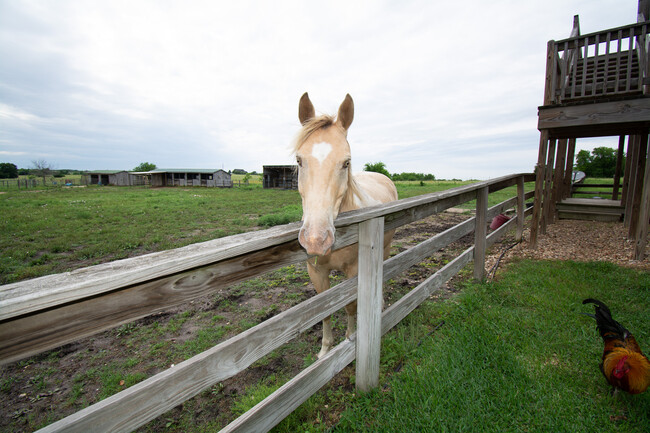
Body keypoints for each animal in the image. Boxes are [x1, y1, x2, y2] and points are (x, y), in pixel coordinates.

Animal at [292, 92, 394, 358]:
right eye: (299, 160)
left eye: (346, 163)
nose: (316, 241)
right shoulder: (316, 272)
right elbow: (325, 311)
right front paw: (325, 351)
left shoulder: (354, 271)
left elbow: (350, 306)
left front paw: (350, 340)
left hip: (386, 247)